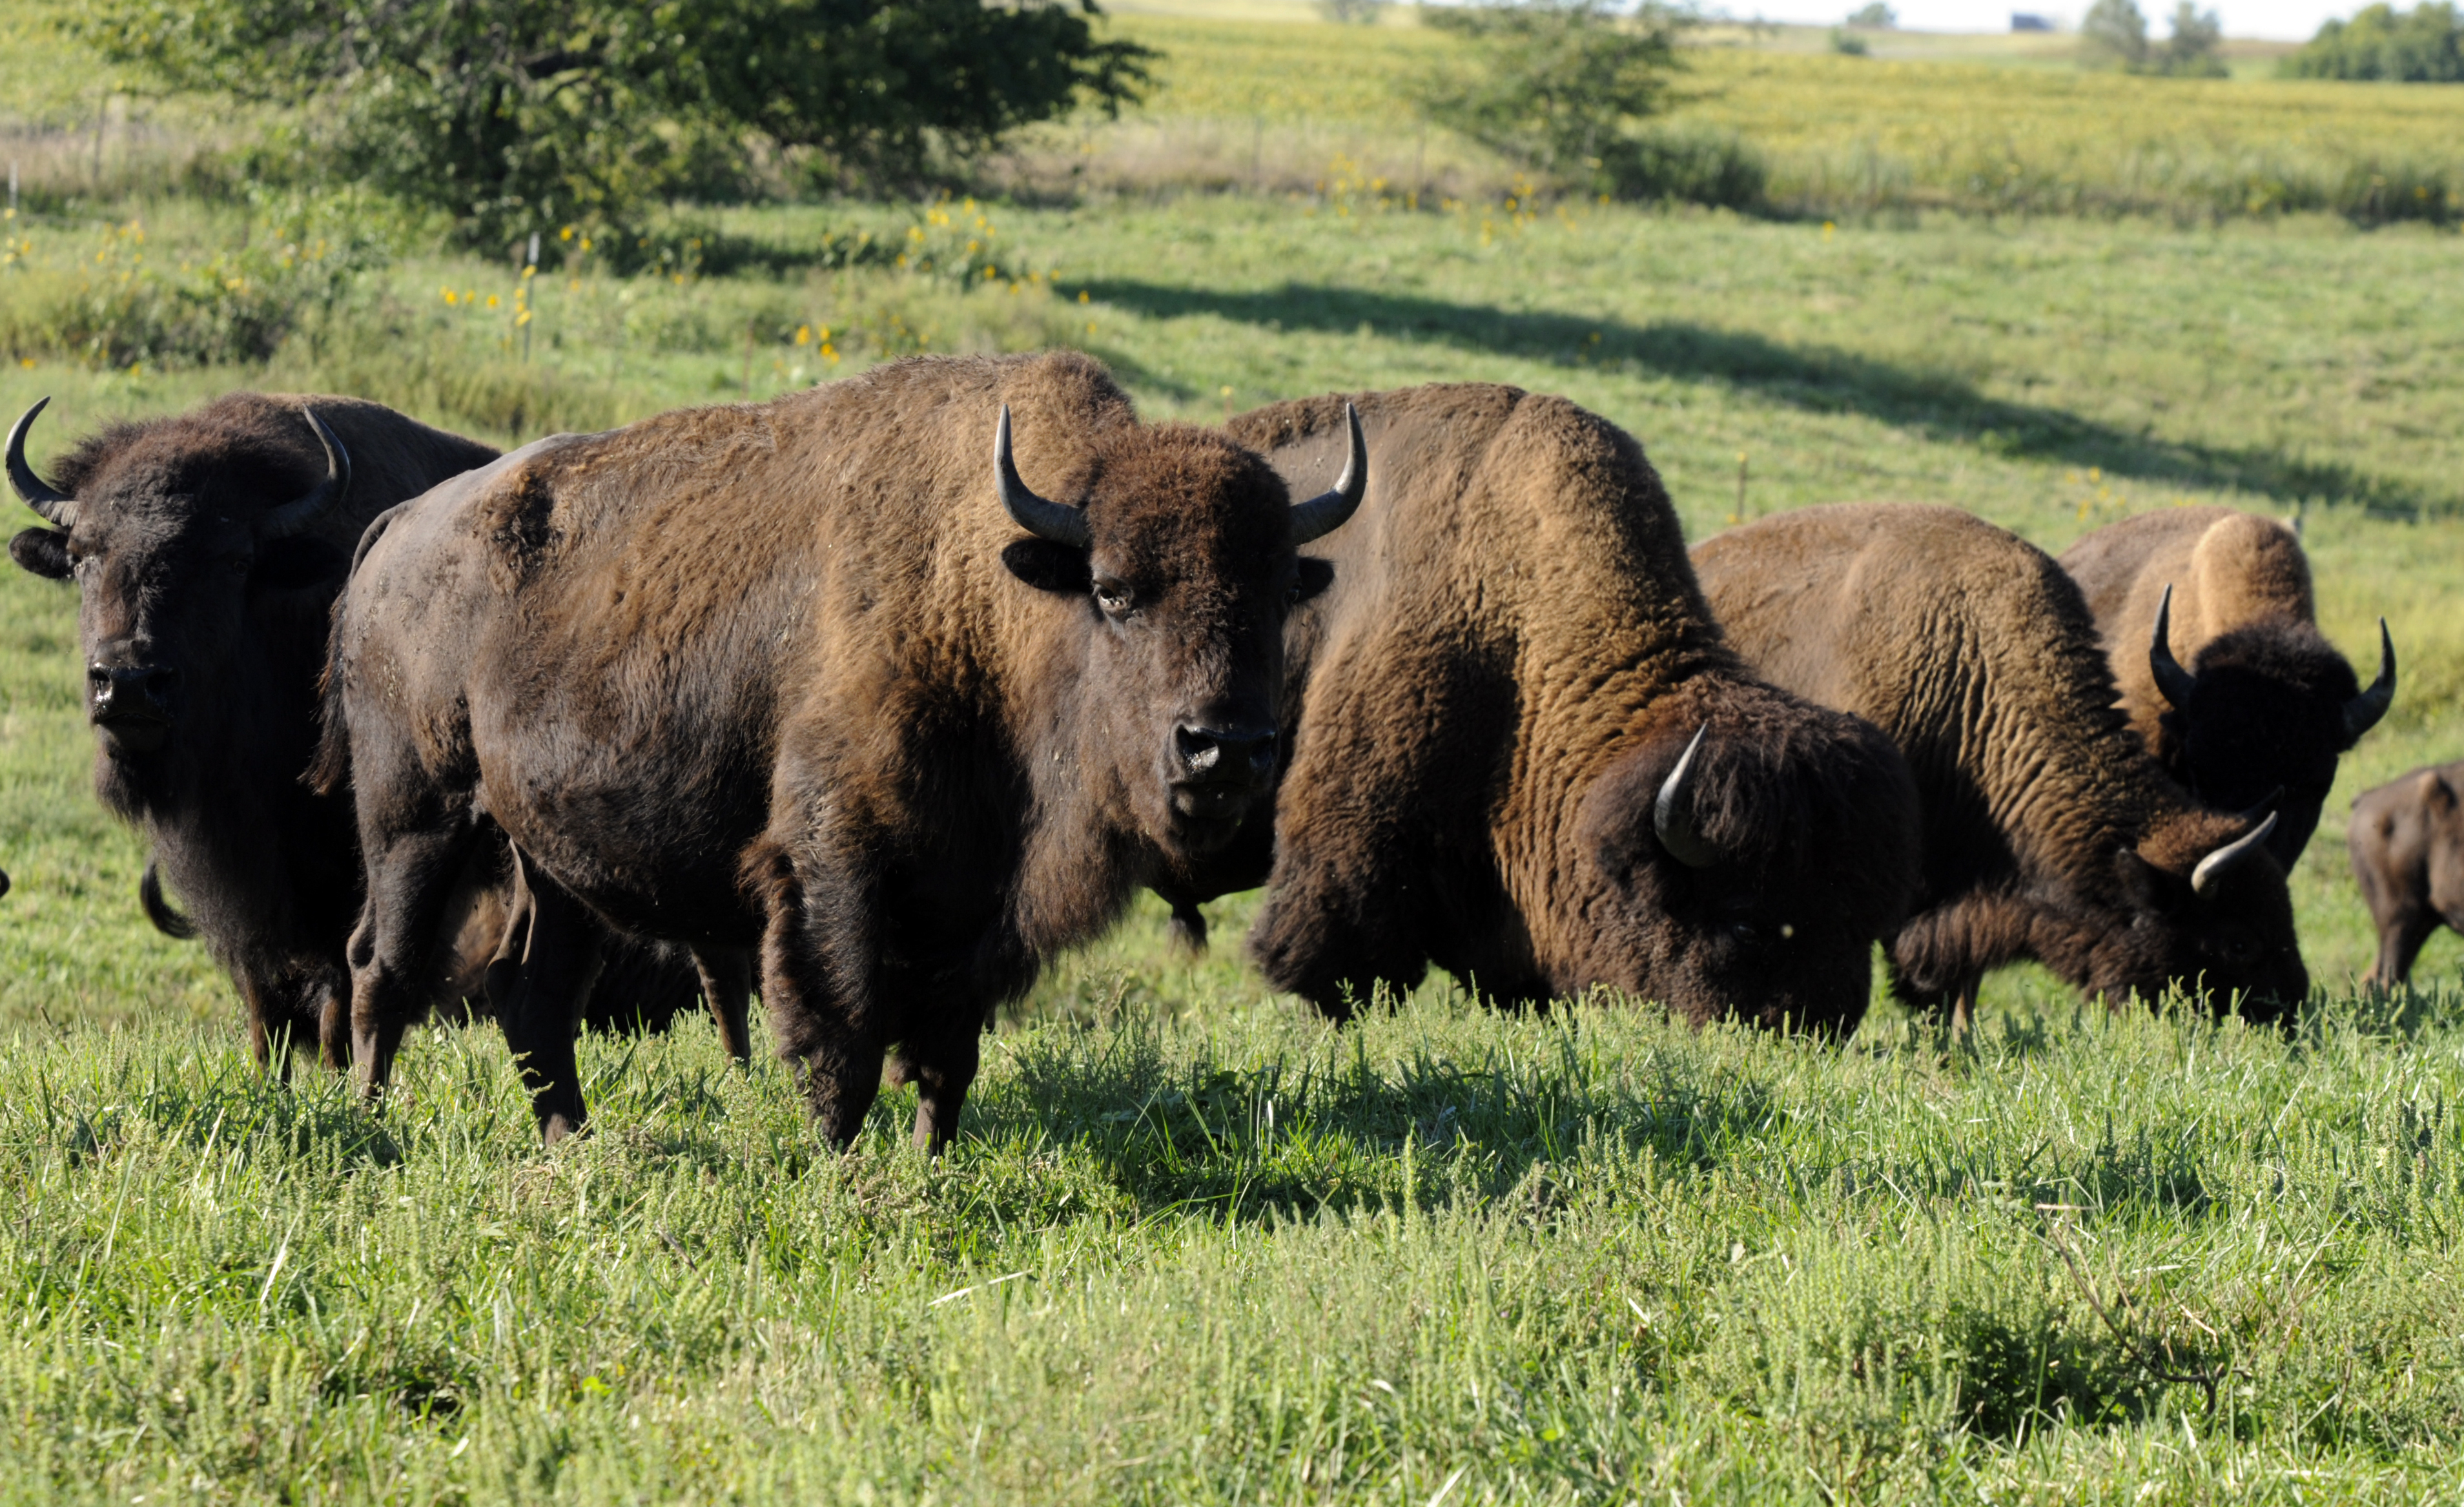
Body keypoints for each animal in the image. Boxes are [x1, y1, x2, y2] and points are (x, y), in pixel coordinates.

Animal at [4, 392, 711, 1071]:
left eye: (233, 560)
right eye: (82, 556)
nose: (127, 682)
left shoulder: (347, 869)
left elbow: (339, 982)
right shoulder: (239, 884)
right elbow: (265, 995)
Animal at [320, 352, 1362, 1146]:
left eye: (1279, 591)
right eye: (1113, 590)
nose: (1225, 748)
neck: (989, 599)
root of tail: (398, 529)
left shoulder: (970, 902)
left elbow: (947, 1051)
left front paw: (930, 1164)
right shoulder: (836, 871)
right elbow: (844, 1037)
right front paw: (836, 1165)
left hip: (553, 858)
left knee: (532, 993)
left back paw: (573, 1143)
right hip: (416, 816)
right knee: (383, 967)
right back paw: (373, 1125)